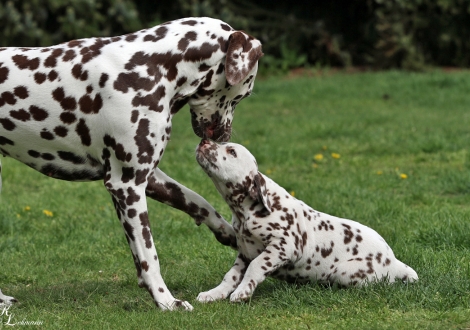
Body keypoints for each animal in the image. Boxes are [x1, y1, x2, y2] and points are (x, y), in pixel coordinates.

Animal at [0, 16, 264, 310]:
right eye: (244, 94)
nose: (223, 136)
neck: (149, 67)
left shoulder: (148, 178)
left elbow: (198, 202)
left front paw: (228, 232)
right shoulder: (127, 185)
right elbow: (150, 257)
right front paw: (166, 301)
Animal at [195, 139, 418, 302]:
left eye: (231, 151)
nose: (204, 140)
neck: (247, 212)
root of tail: (395, 262)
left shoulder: (283, 246)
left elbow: (256, 267)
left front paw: (242, 292)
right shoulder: (245, 252)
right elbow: (231, 275)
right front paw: (214, 293)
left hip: (346, 272)